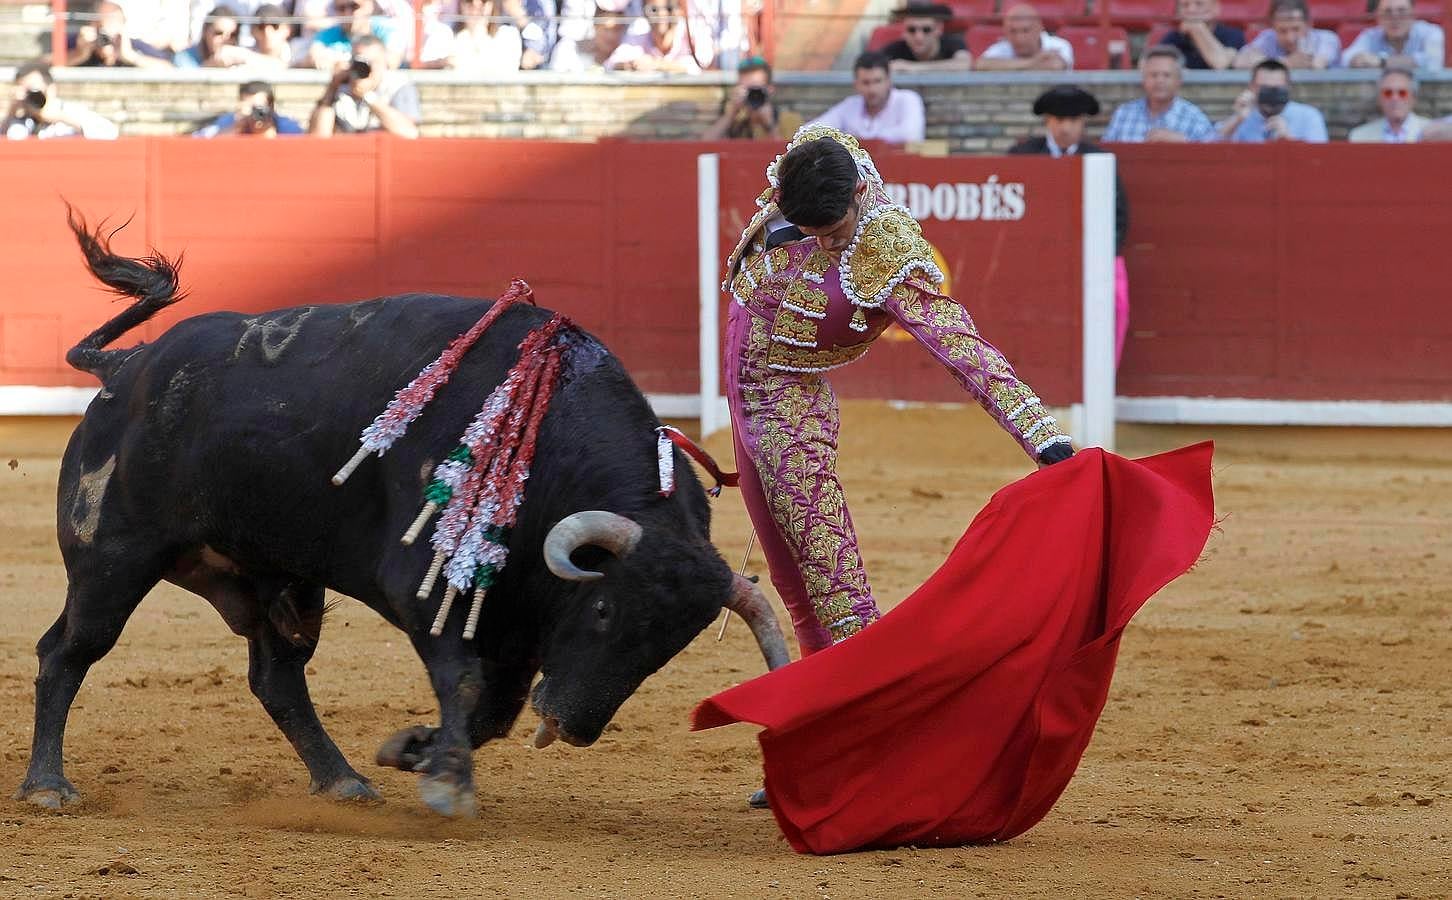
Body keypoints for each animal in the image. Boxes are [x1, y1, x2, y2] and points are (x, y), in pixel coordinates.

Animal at [14, 214, 784, 818]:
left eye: (668, 648)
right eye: (602, 612)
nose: (572, 724)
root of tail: (126, 368)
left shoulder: (514, 620)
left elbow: (491, 708)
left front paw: (416, 751)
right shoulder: (429, 583)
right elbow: (464, 682)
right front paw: (446, 781)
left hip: (278, 580)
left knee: (277, 678)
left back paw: (343, 780)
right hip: (113, 557)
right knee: (68, 650)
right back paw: (48, 786)